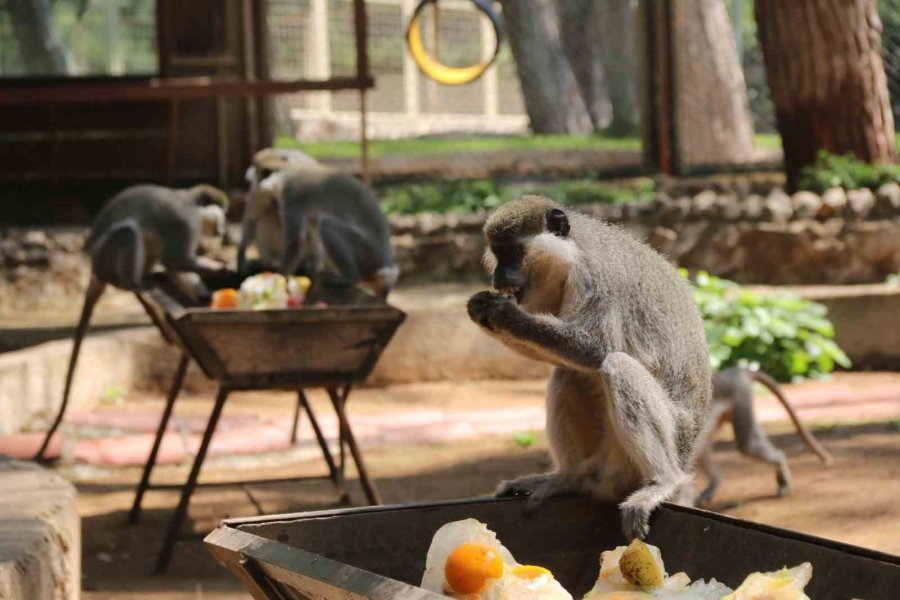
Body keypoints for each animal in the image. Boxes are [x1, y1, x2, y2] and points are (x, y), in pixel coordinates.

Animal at [32, 185, 230, 462]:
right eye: (222, 213)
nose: (223, 229)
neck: (190, 201)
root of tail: (95, 271)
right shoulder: (185, 221)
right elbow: (177, 259)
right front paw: (220, 267)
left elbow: (175, 264)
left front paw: (204, 291)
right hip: (107, 259)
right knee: (128, 233)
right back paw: (133, 282)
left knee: (150, 242)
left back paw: (150, 277)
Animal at [239, 148, 398, 298]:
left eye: (275, 201)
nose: (277, 208)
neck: (284, 175)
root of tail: (385, 263)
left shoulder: (292, 195)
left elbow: (296, 243)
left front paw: (280, 278)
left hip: (368, 253)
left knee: (327, 225)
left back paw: (349, 278)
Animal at [468, 196, 712, 540]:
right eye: (497, 253)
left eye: (512, 252)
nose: (498, 278)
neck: (572, 255)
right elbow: (570, 360)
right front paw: (482, 310)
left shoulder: (596, 280)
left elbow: (598, 348)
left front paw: (502, 313)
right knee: (568, 373)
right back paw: (569, 478)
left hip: (666, 441)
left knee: (618, 365)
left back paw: (663, 481)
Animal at [696, 366, 836, 506]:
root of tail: (733, 372)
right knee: (703, 450)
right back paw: (714, 482)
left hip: (741, 398)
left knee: (748, 446)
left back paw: (781, 466)